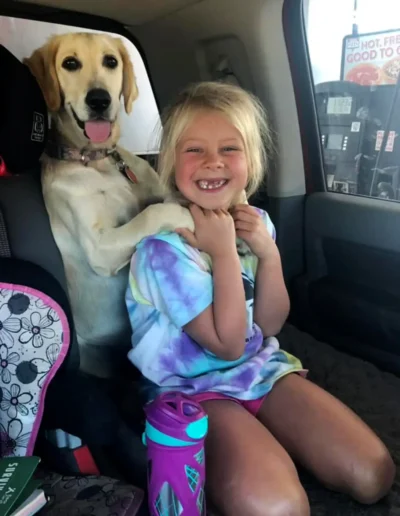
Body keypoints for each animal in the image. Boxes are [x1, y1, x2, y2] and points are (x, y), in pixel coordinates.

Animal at [24, 33, 195, 378]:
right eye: (70, 63)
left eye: (110, 61)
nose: (99, 100)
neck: (98, 160)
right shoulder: (100, 248)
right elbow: (151, 214)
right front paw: (187, 215)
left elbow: (159, 201)